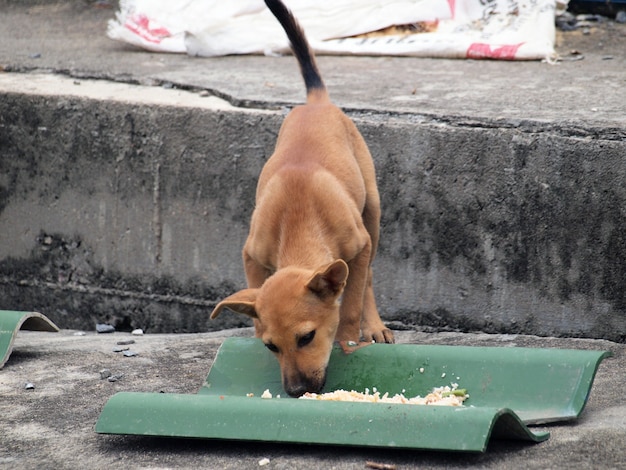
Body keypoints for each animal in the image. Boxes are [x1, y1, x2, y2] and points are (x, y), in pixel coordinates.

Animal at [212, 0, 392, 396]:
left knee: (370, 278)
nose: (296, 391)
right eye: (271, 346)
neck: (298, 221)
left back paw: (373, 326)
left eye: (307, 338)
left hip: (372, 213)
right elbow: (256, 296)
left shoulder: (358, 246)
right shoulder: (252, 254)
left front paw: (347, 339)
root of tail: (316, 102)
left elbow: (351, 303)